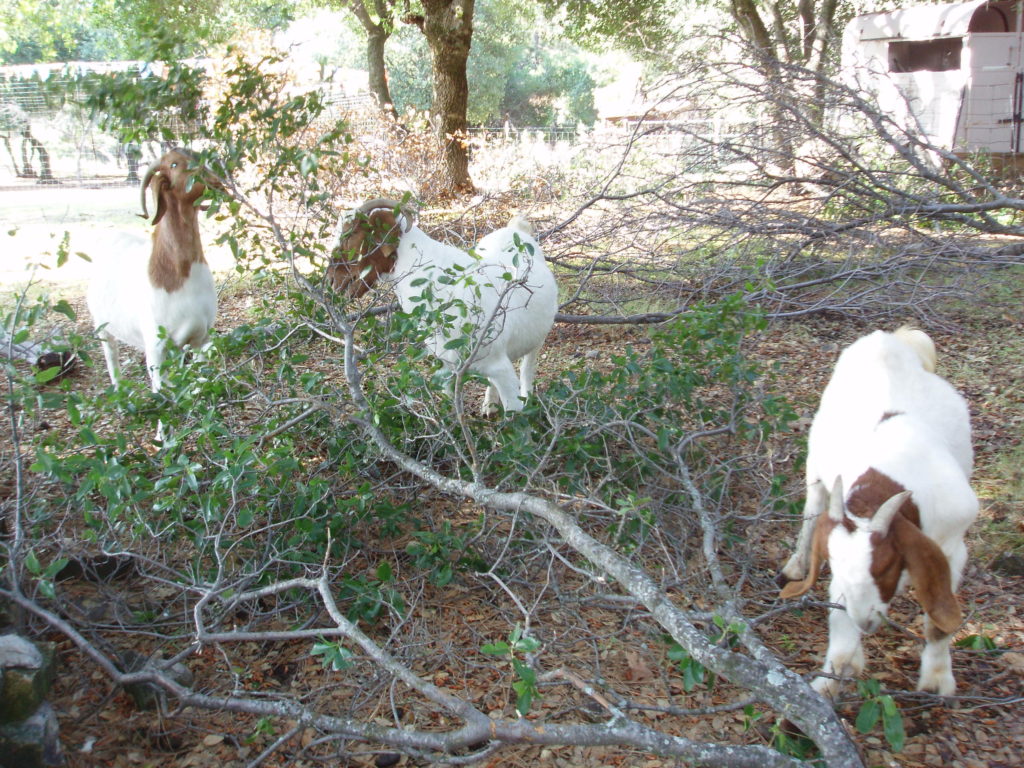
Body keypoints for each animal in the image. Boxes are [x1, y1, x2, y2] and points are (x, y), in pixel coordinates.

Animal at [86, 147, 222, 397]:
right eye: (174, 164)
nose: (216, 181)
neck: (179, 277)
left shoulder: (200, 336)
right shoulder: (155, 347)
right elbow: (161, 390)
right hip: (101, 325)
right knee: (111, 356)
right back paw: (119, 389)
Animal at [325, 198, 557, 415]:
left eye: (352, 233)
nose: (331, 279)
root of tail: (517, 230)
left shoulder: (500, 368)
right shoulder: (447, 366)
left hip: (537, 339)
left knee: (528, 367)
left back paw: (528, 398)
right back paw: (489, 406)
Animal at [774, 327, 974, 700]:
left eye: (885, 567)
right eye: (833, 566)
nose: (864, 622)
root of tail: (889, 339)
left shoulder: (953, 545)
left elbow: (938, 624)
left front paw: (937, 680)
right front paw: (831, 679)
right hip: (815, 460)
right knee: (813, 506)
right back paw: (795, 565)